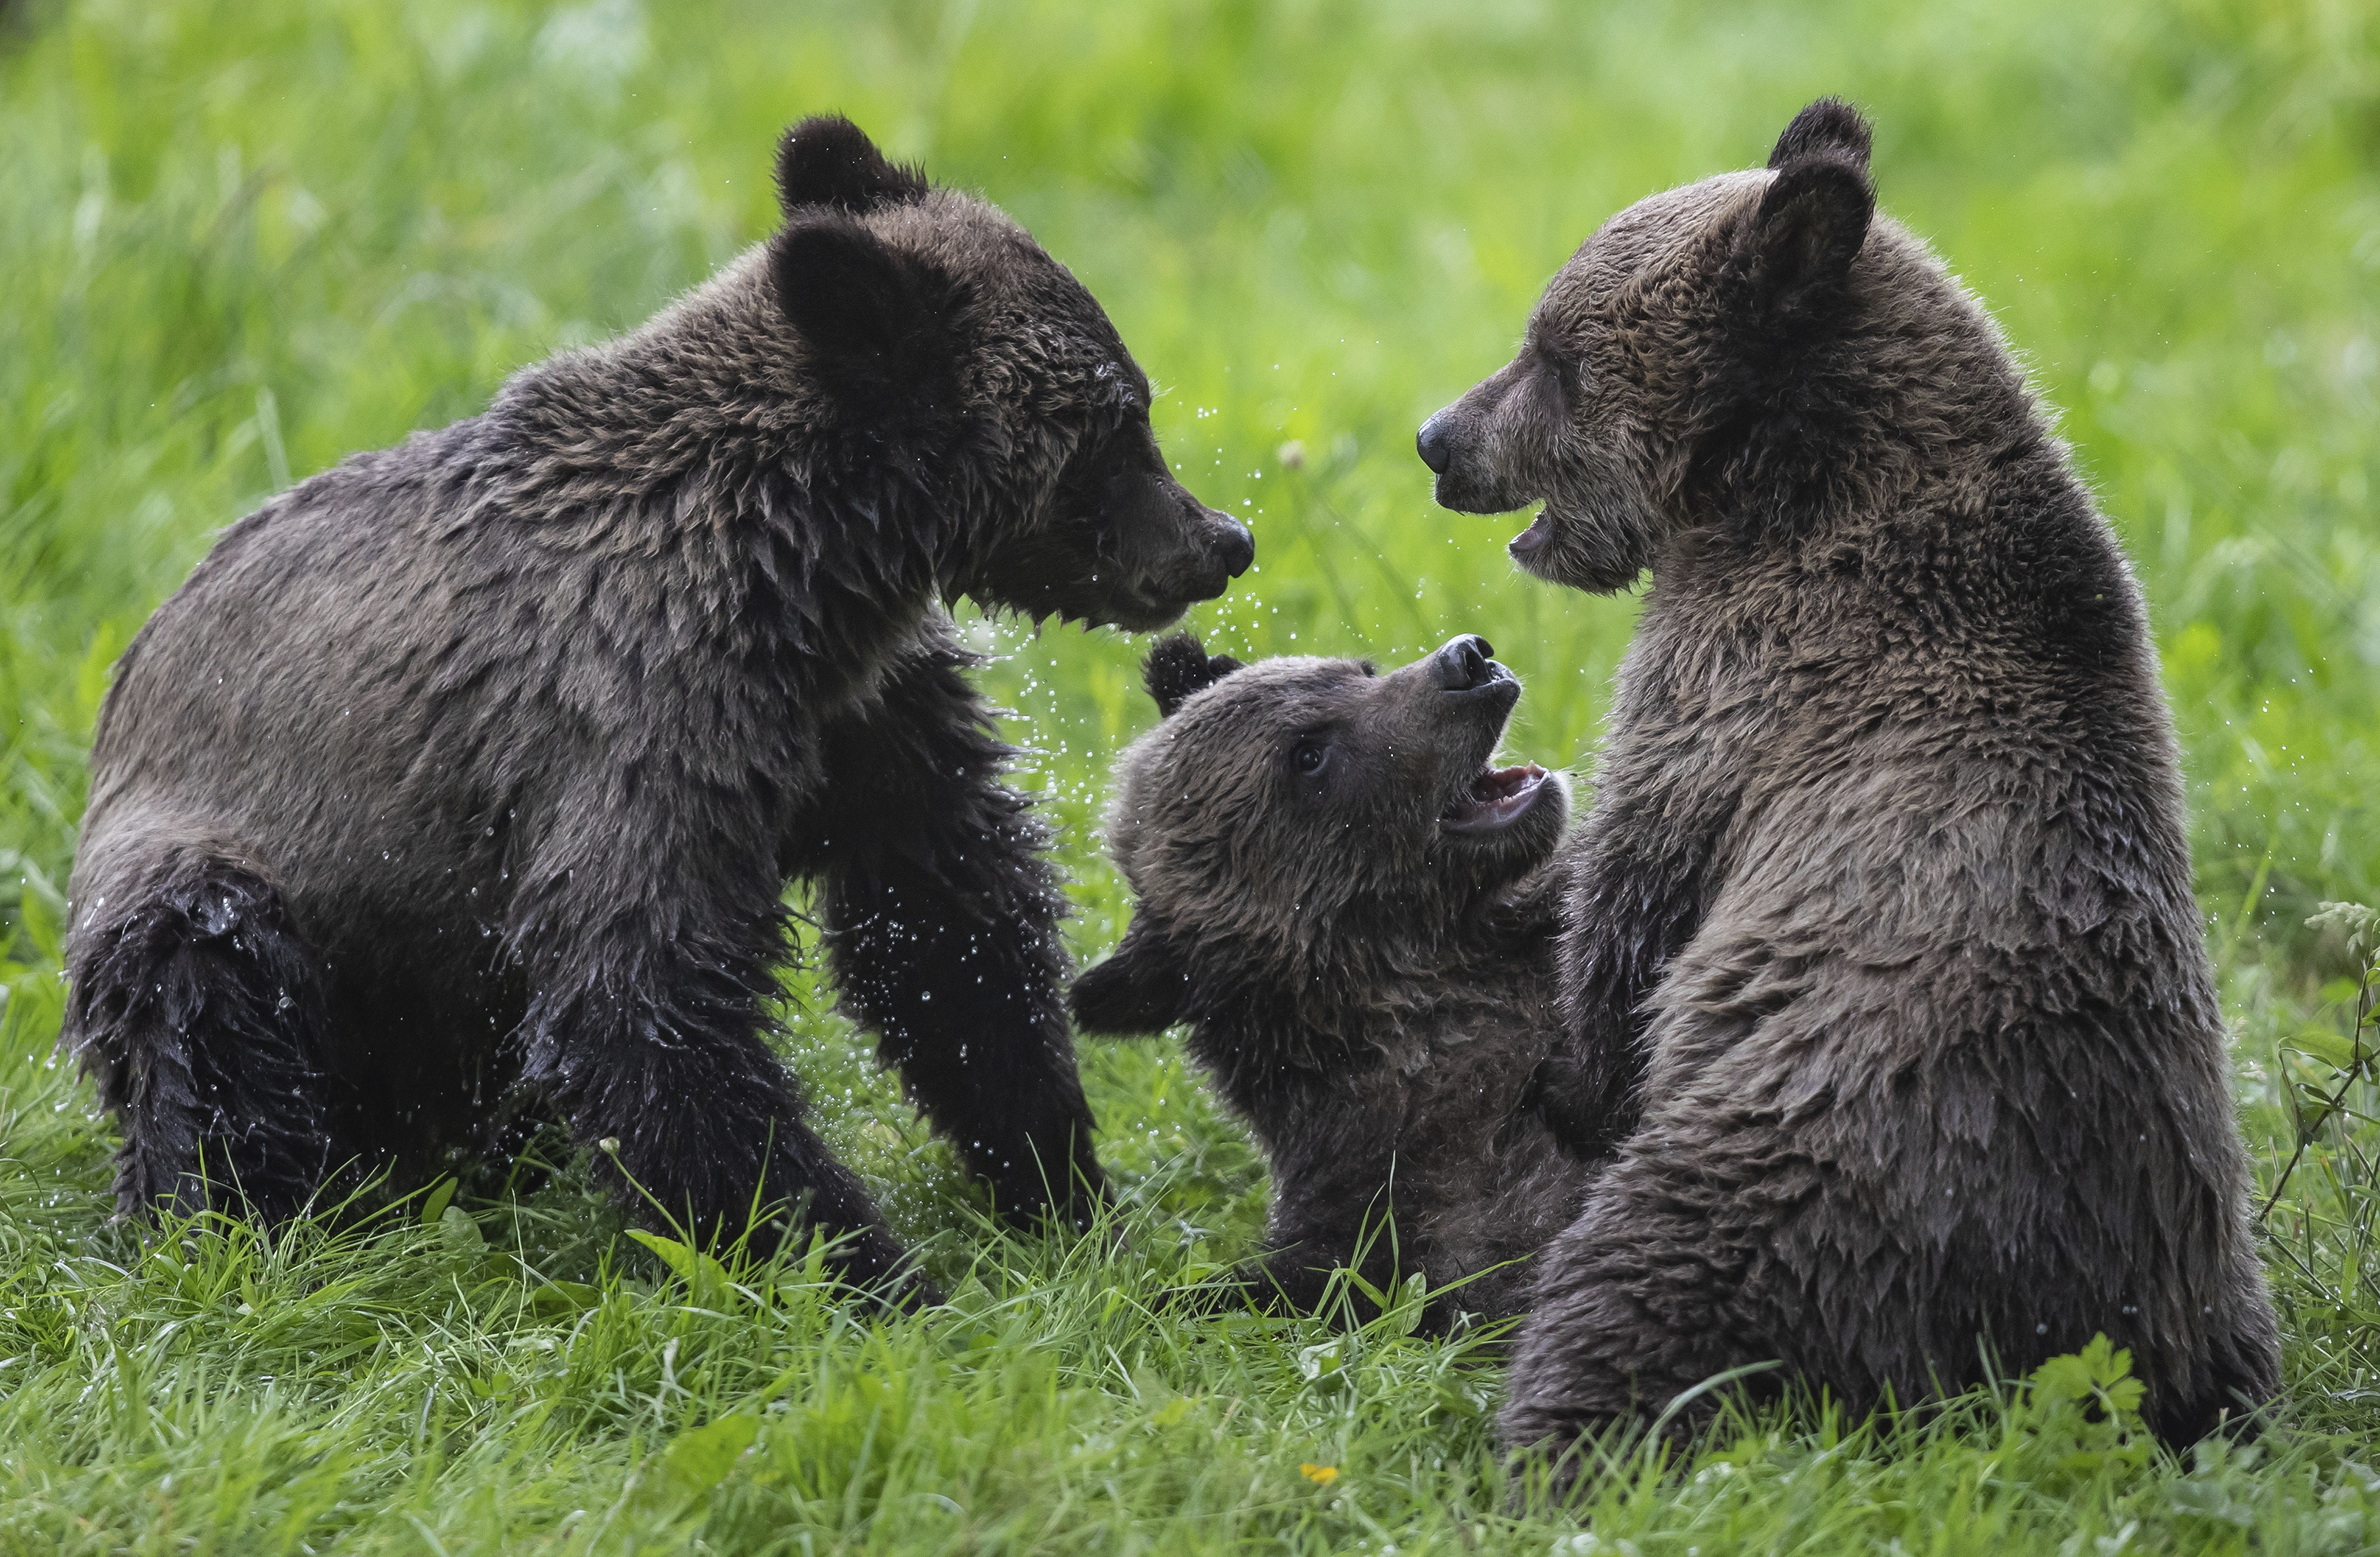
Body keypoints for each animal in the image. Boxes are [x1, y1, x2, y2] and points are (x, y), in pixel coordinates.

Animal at [65, 116, 1257, 1295]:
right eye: (1120, 425)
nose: (1223, 540)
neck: (803, 577)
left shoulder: (862, 721)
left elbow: (949, 928)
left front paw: (1059, 1182)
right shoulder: (631, 729)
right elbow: (644, 1003)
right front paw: (861, 1266)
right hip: (242, 886)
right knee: (207, 1016)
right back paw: (239, 1213)